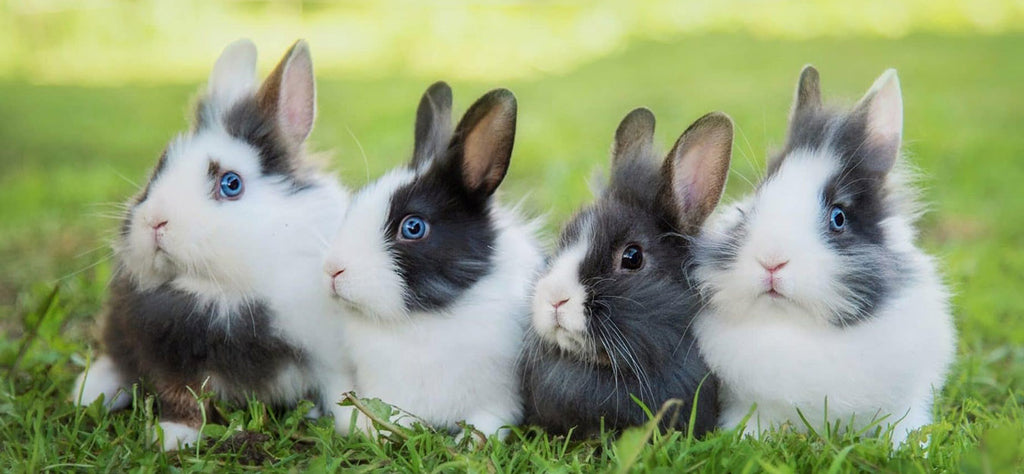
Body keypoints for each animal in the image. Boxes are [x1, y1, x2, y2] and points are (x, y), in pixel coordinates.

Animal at [69, 39, 357, 450]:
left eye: (231, 183)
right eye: (158, 170)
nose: (155, 221)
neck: (225, 291)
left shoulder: (330, 350)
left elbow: (341, 391)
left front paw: (365, 426)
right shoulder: (168, 346)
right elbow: (182, 394)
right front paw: (172, 436)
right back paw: (90, 390)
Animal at [322, 82, 545, 438]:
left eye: (413, 227)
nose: (333, 270)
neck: (425, 318)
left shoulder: (499, 400)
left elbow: (486, 424)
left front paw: (470, 444)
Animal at [692, 66, 956, 447]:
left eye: (838, 218)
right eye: (752, 205)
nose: (771, 260)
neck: (795, 327)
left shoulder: (908, 398)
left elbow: (907, 426)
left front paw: (907, 449)